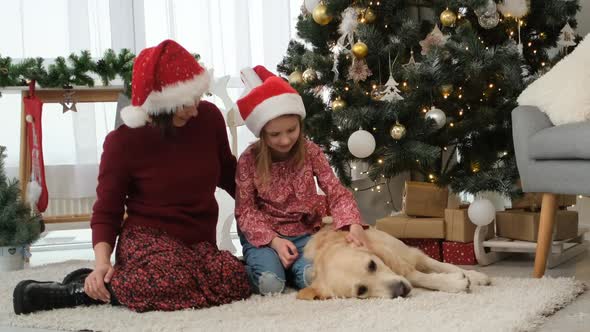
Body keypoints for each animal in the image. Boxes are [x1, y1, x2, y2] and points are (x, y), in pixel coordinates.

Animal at [298, 227, 492, 300]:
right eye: (361, 291)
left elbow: (444, 265)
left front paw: (477, 276)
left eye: (372, 265)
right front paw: (454, 282)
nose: (400, 290)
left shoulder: (414, 254)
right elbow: (423, 277)